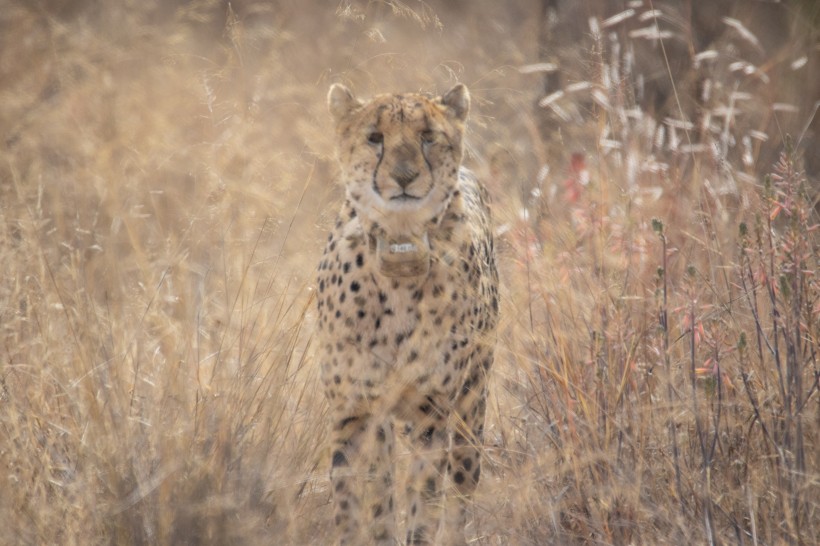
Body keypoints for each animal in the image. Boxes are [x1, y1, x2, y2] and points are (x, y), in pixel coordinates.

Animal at [318, 83, 500, 540]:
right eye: (374, 137)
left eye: (428, 137)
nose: (403, 177)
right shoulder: (356, 411)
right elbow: (358, 503)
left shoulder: (429, 415)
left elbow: (424, 503)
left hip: (472, 403)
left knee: (462, 482)